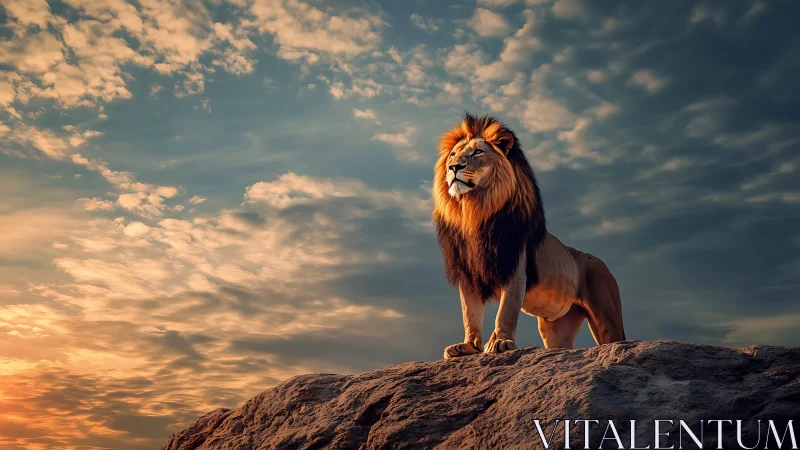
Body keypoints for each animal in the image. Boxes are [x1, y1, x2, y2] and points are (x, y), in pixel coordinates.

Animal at [434, 114, 626, 358]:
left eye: (477, 152)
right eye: (453, 154)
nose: (453, 167)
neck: (473, 212)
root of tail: (603, 263)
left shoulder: (515, 268)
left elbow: (506, 310)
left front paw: (500, 342)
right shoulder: (469, 275)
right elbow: (470, 314)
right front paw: (468, 347)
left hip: (606, 316)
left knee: (615, 338)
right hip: (557, 326)